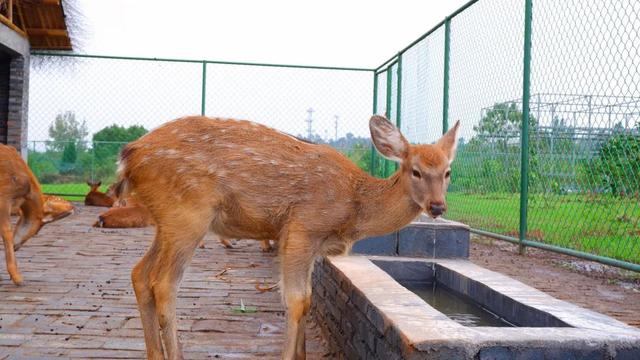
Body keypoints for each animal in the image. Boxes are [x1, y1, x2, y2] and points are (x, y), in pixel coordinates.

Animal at [117, 116, 458, 360]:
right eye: (415, 171)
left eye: (447, 172)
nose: (437, 206)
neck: (354, 204)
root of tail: (127, 158)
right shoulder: (301, 227)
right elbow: (296, 300)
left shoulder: (312, 245)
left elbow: (307, 299)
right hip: (188, 214)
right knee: (163, 284)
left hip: (167, 221)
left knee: (139, 273)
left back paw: (154, 354)